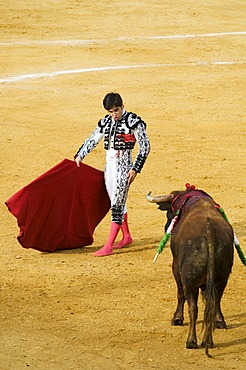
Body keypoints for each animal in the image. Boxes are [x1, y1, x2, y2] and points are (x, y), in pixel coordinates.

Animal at [147, 184, 234, 356]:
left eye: (169, 211)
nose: (166, 227)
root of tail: (209, 231)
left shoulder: (176, 267)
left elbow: (180, 294)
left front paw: (177, 319)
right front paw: (219, 321)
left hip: (189, 281)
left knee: (193, 307)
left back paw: (191, 341)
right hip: (221, 279)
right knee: (213, 303)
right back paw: (208, 340)